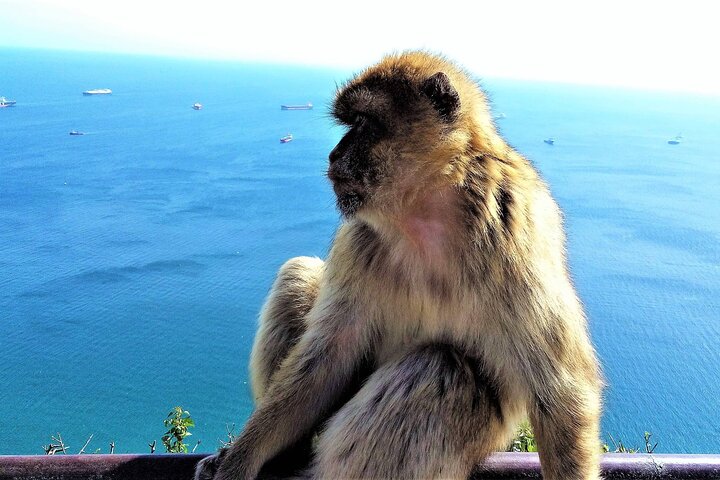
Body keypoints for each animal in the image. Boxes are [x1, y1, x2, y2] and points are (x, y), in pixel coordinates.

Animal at [195, 51, 603, 480]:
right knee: (300, 272)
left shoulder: (514, 233)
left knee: (440, 369)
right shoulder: (358, 240)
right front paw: (239, 460)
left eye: (362, 123)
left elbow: (560, 390)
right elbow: (328, 360)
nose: (334, 155)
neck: (425, 213)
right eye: (351, 124)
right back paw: (287, 455)